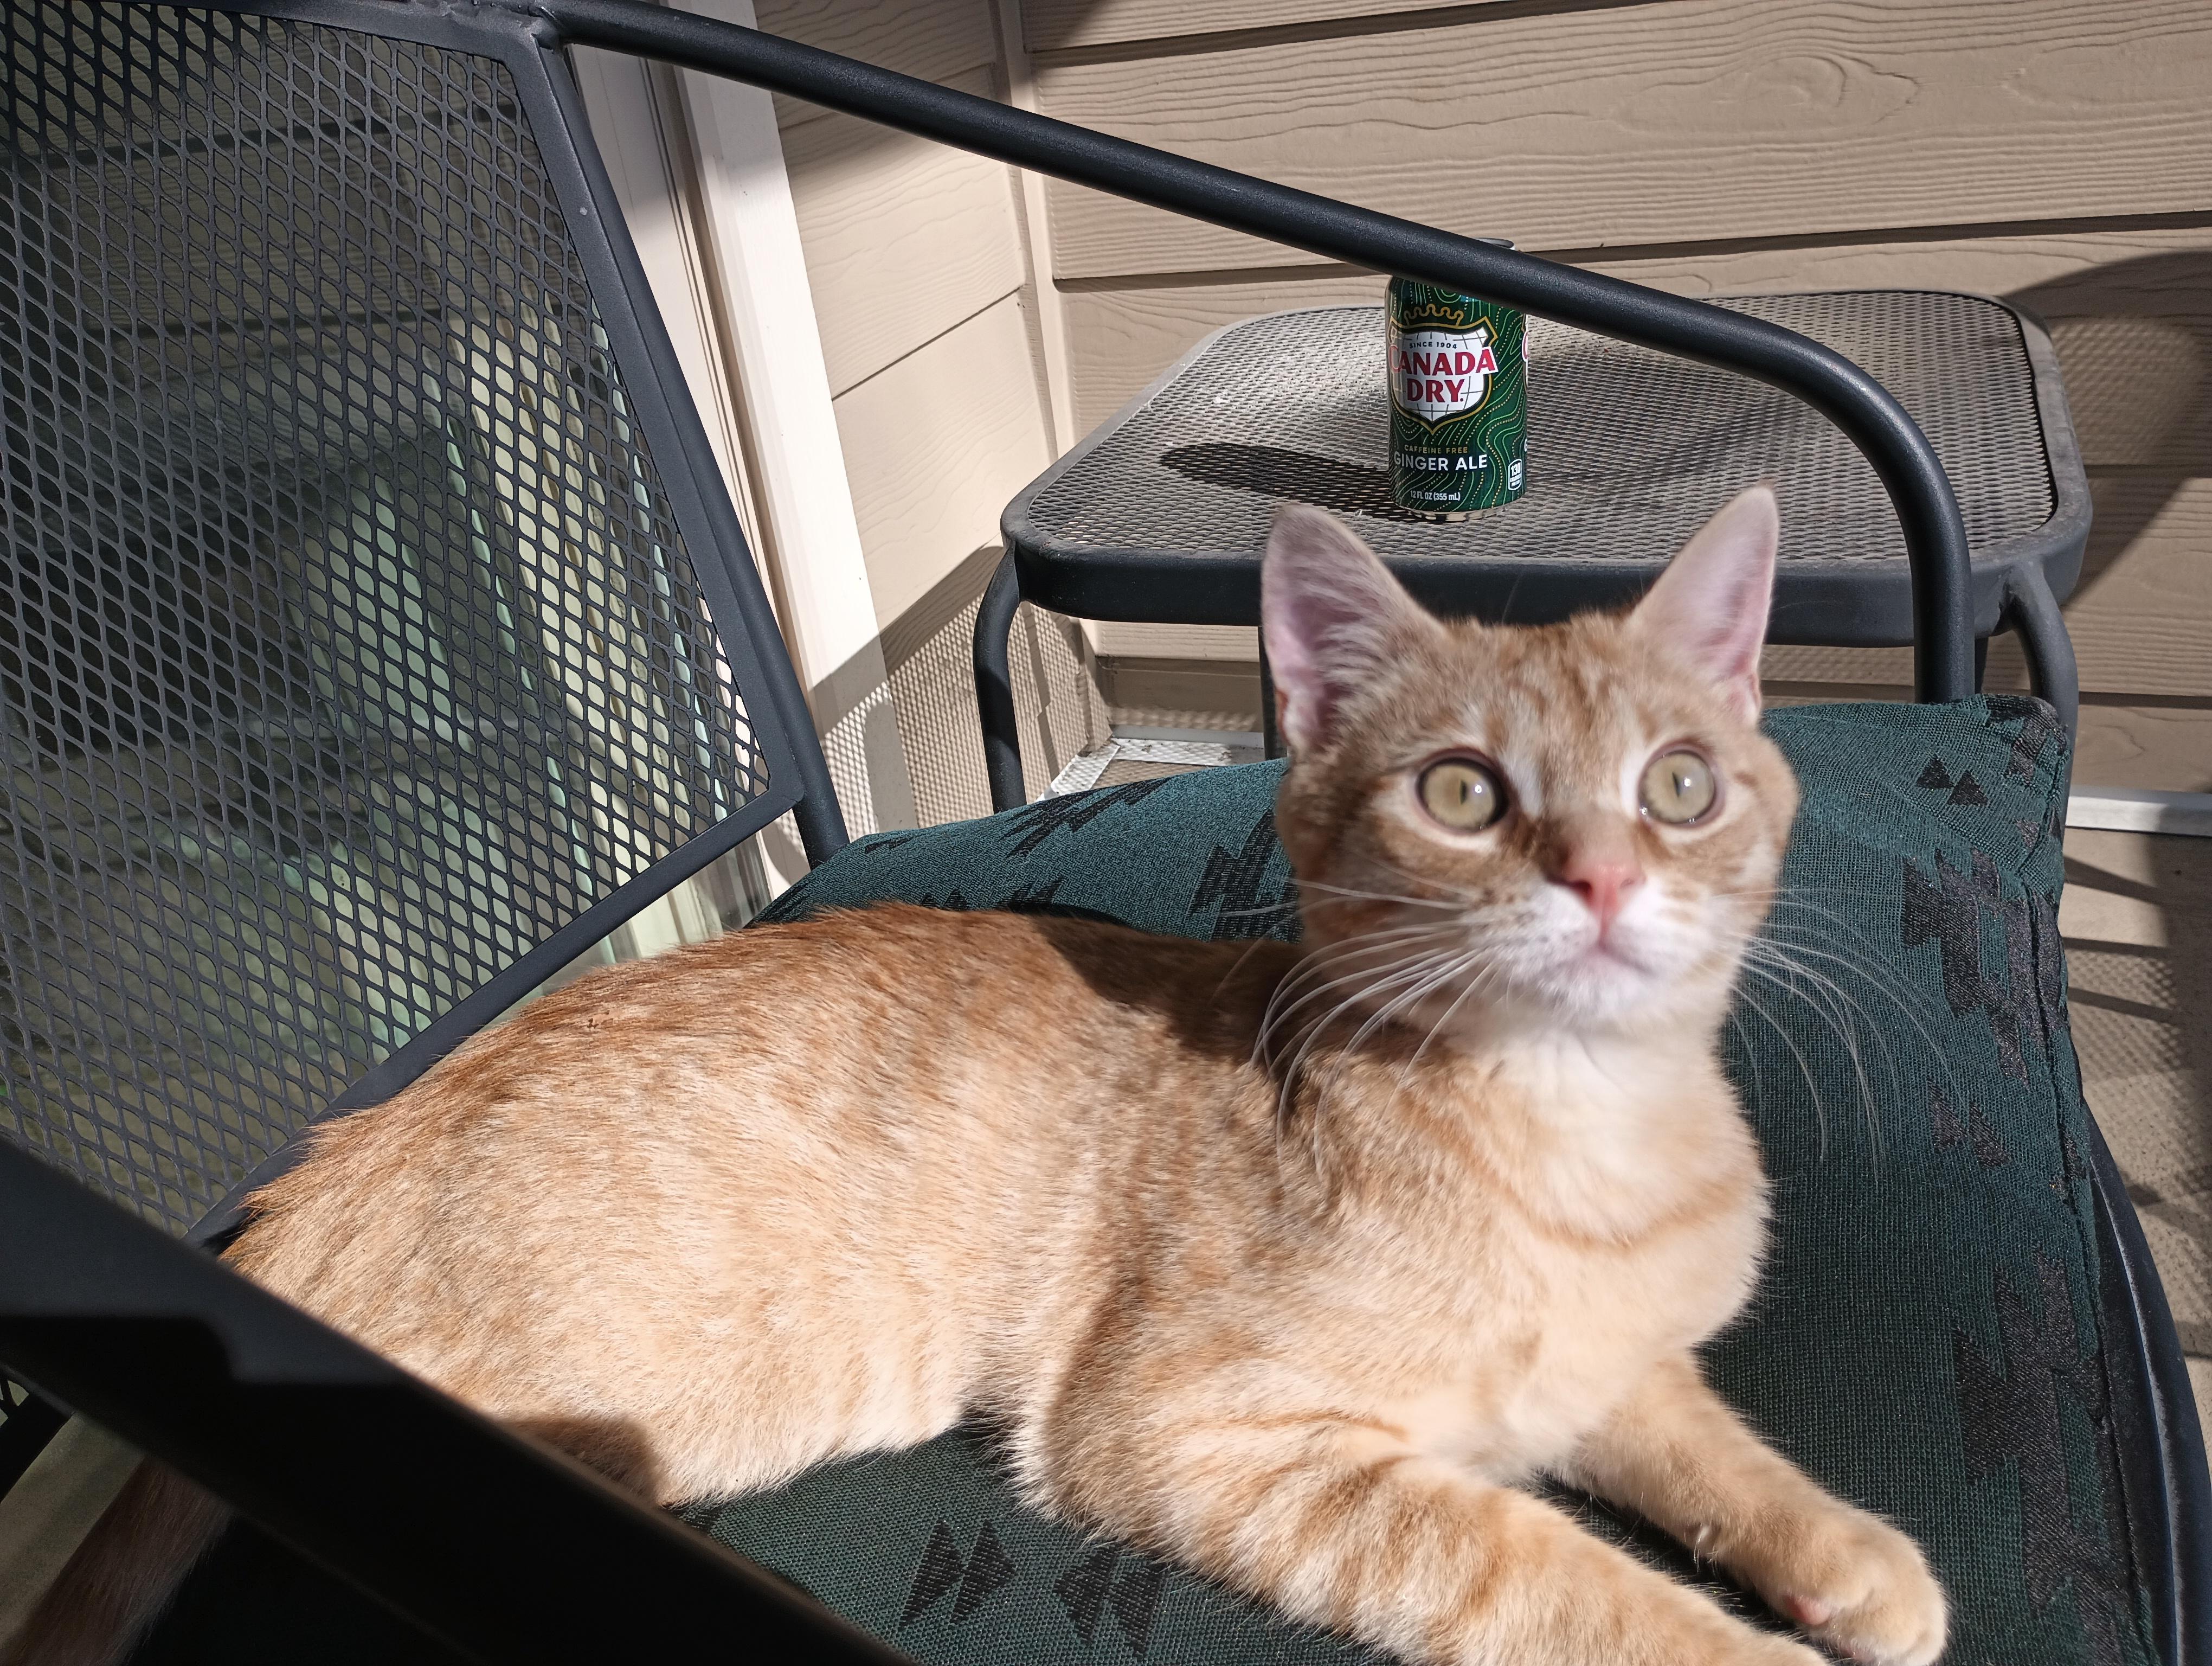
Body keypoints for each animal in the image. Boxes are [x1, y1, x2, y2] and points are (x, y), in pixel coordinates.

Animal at [6, 488, 1946, 1666]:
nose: (1604, 880)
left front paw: (1852, 1558)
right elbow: (1549, 1573)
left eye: (1681, 784)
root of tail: (322, 1168)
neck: (1580, 1136)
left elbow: (1709, 1443)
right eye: (1461, 792)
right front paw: (1740, 1640)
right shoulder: (1190, 1437)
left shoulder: (1610, 1371)